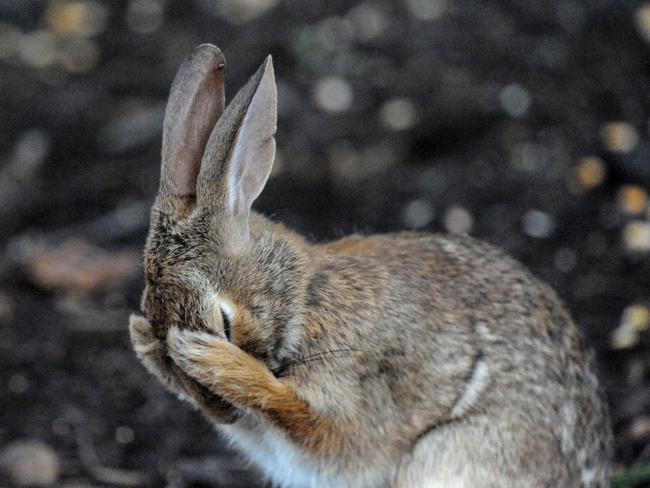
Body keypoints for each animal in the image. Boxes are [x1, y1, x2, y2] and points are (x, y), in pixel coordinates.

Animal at [128, 43, 612, 486]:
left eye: (223, 322)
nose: (222, 414)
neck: (302, 301)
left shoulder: (350, 401)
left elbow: (305, 417)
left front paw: (213, 360)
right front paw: (143, 342)